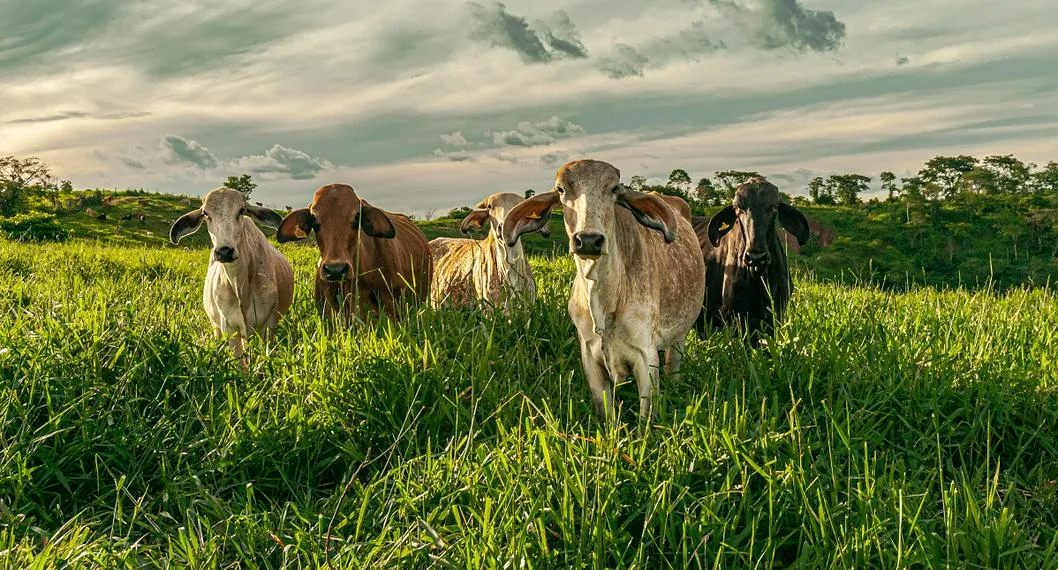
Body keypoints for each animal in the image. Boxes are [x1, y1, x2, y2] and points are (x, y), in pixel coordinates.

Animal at [169, 187, 296, 357]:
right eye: (205, 214)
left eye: (241, 210)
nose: (224, 251)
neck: (240, 286)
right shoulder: (229, 329)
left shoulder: (265, 327)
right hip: (216, 326)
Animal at [501, 160, 706, 423]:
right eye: (561, 190)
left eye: (614, 189)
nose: (589, 240)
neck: (603, 301)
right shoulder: (590, 357)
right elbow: (605, 414)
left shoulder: (646, 356)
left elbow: (646, 419)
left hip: (679, 336)